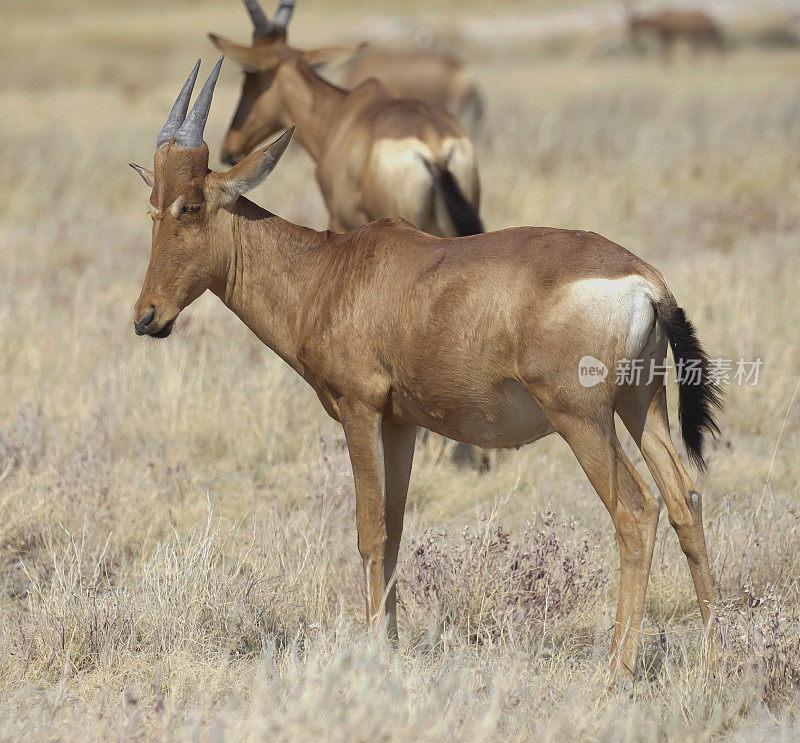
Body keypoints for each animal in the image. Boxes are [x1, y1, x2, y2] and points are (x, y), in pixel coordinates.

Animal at [131, 56, 724, 684]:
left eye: (190, 206)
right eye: (152, 206)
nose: (147, 317)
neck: (331, 269)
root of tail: (645, 281)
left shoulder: (360, 410)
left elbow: (368, 530)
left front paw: (373, 652)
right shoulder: (400, 423)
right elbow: (393, 528)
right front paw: (389, 645)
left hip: (582, 419)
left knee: (636, 511)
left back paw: (616, 671)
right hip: (642, 406)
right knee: (685, 500)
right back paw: (715, 656)